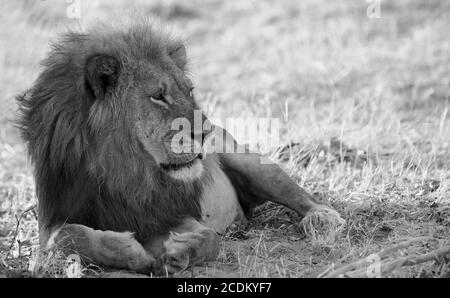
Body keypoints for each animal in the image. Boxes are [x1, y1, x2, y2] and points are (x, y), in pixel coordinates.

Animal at [15, 21, 342, 274]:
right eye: (159, 96)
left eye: (190, 91)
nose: (206, 132)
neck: (125, 171)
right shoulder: (53, 216)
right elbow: (68, 237)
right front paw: (128, 250)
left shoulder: (172, 213)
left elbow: (209, 238)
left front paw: (178, 252)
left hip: (254, 165)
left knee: (300, 194)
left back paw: (322, 218)